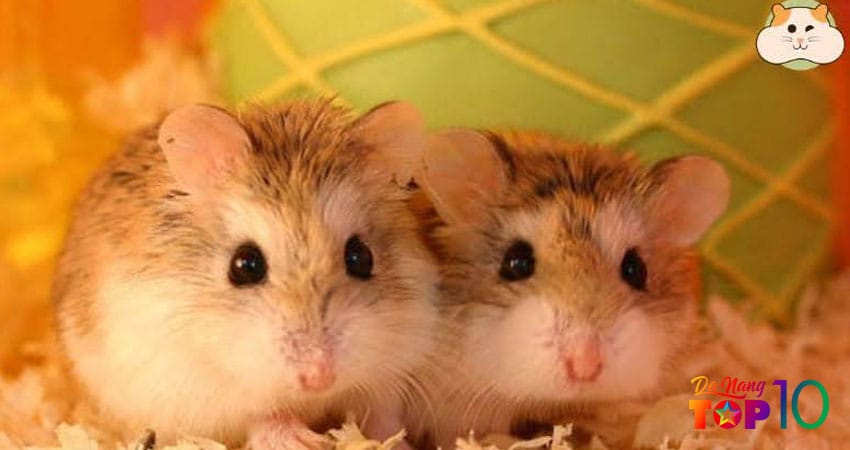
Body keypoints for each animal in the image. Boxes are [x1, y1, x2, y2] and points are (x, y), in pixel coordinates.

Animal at [52, 99, 439, 448]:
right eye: (244, 265)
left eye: (361, 257)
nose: (319, 377)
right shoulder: (195, 387)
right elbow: (261, 416)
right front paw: (302, 440)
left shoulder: (399, 360)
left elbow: (382, 413)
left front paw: (394, 443)